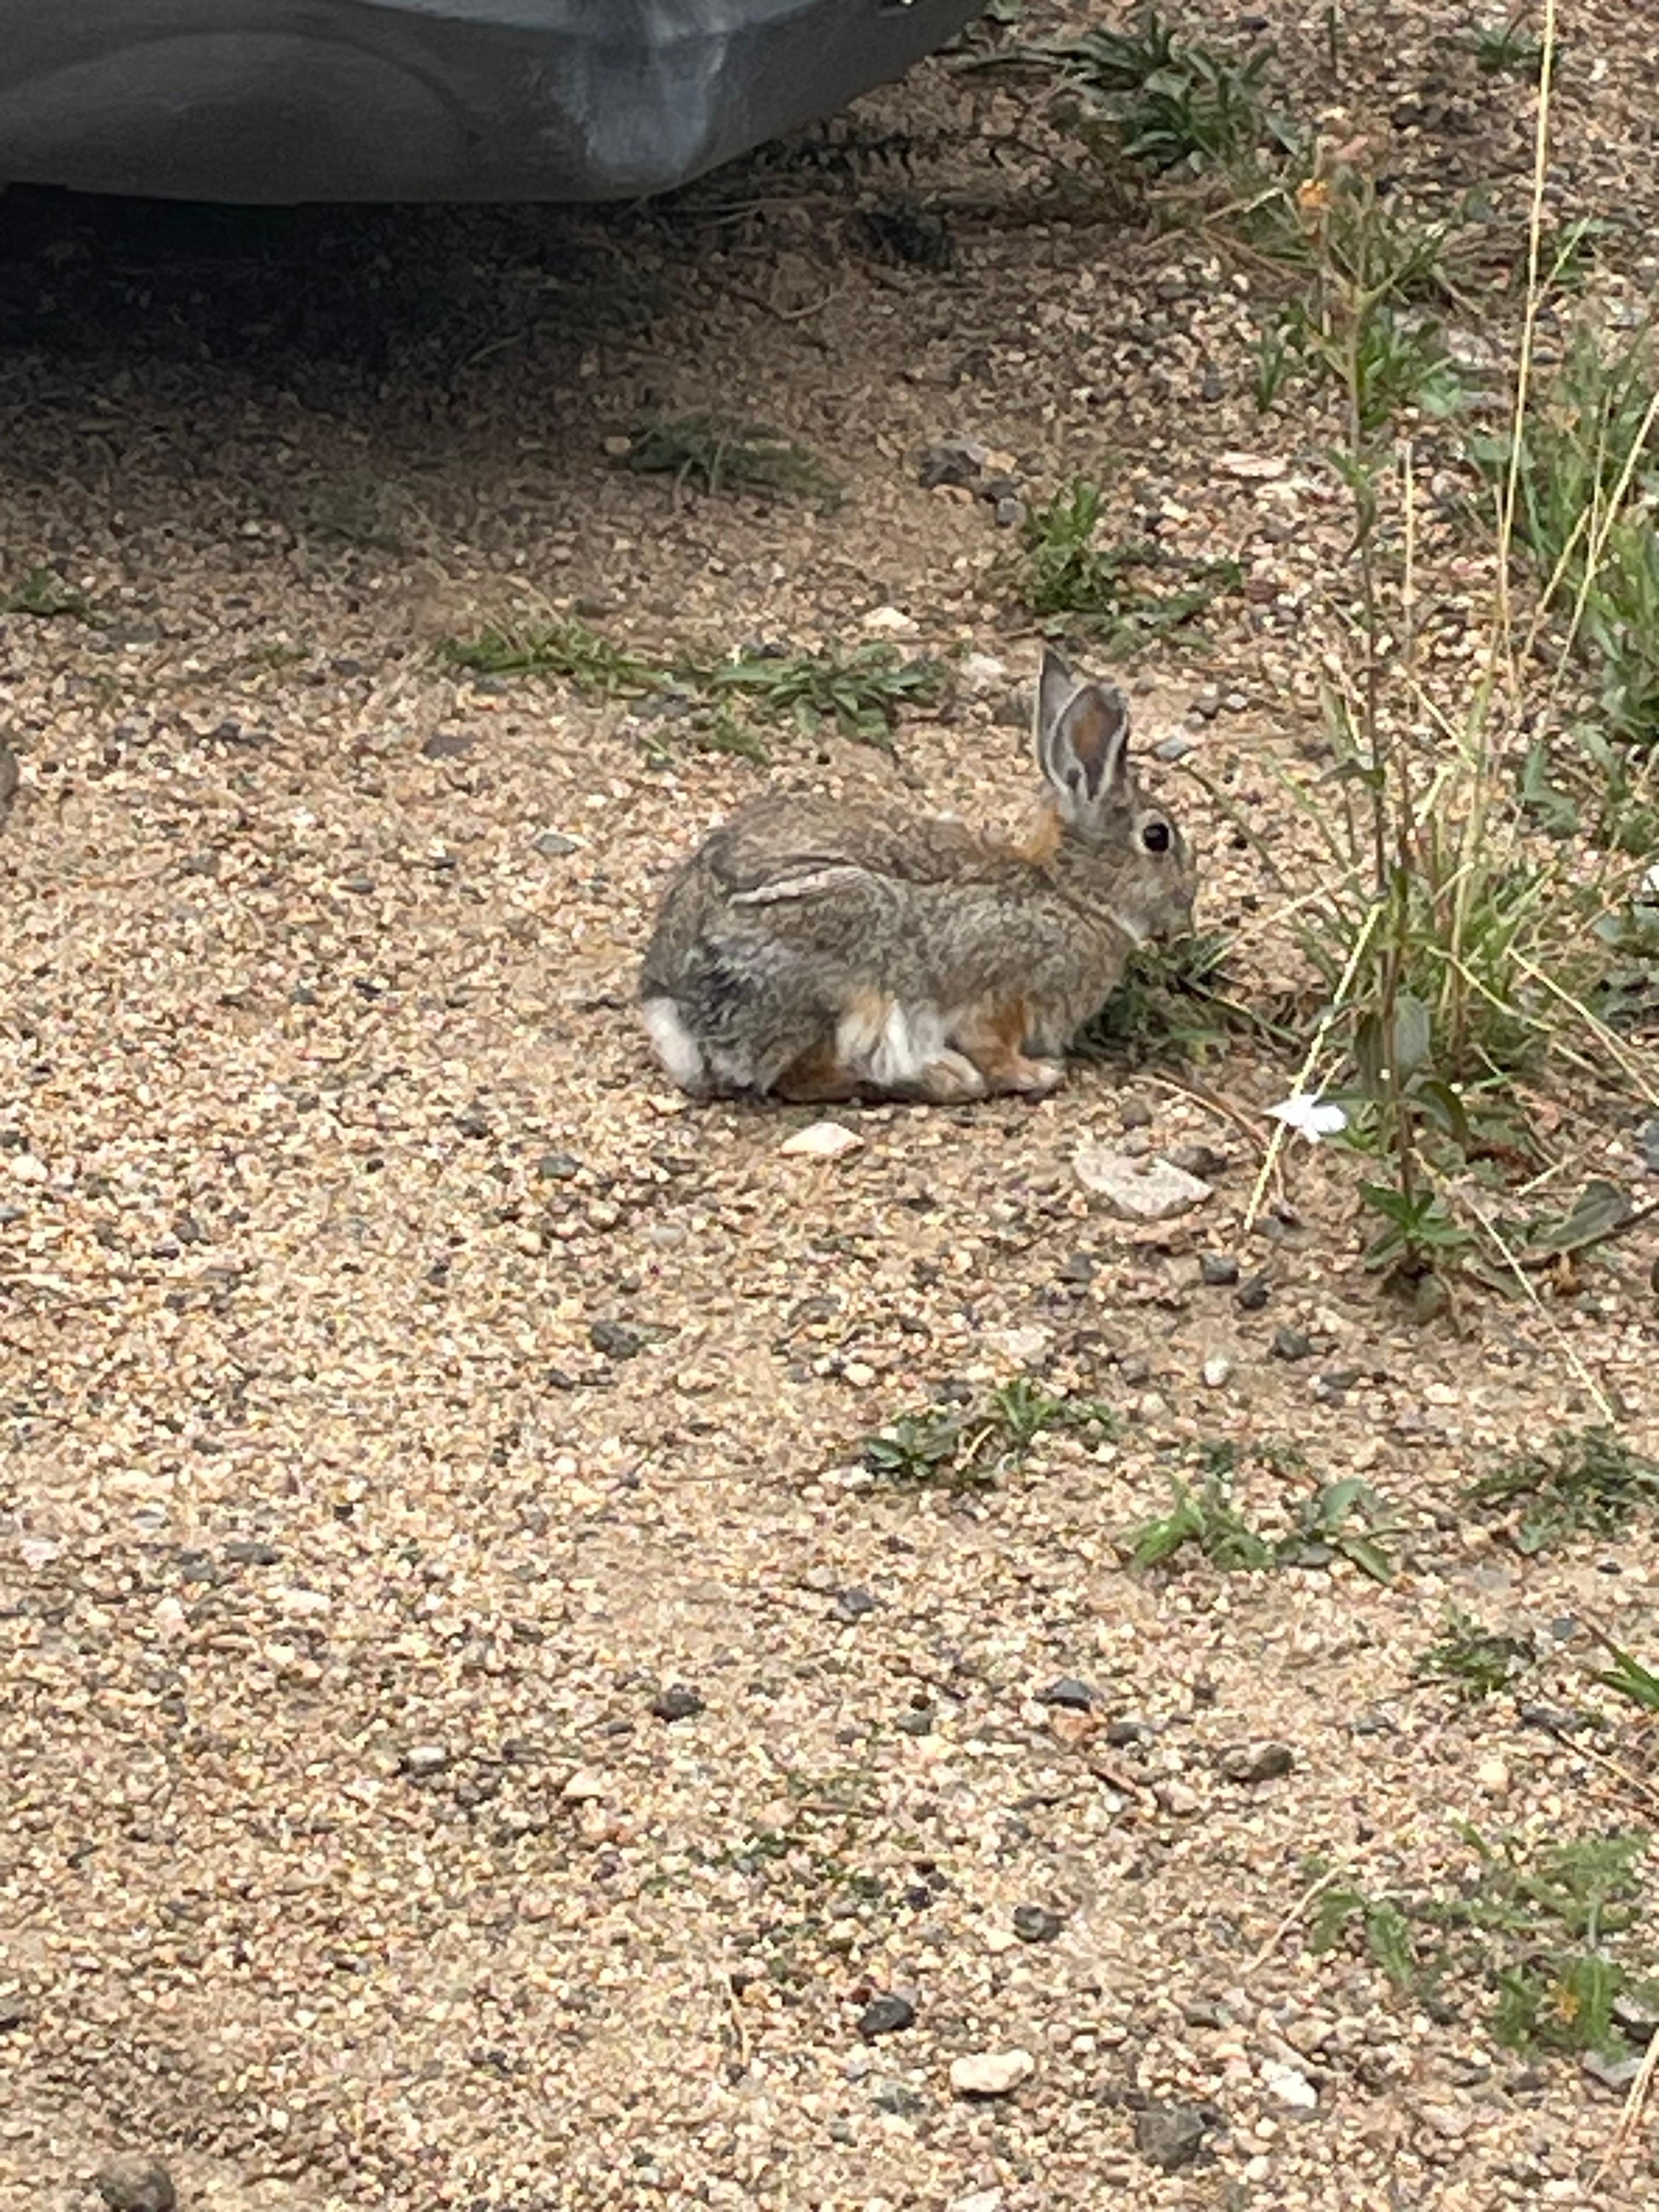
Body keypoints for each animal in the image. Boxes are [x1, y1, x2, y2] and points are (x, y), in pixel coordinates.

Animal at [638, 646, 1197, 1104]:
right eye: (1157, 837)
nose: (1187, 901)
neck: (1069, 891)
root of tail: (673, 1008)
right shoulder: (1002, 996)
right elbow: (995, 1050)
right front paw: (1038, 1075)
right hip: (845, 972)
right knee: (804, 1077)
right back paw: (942, 1079)